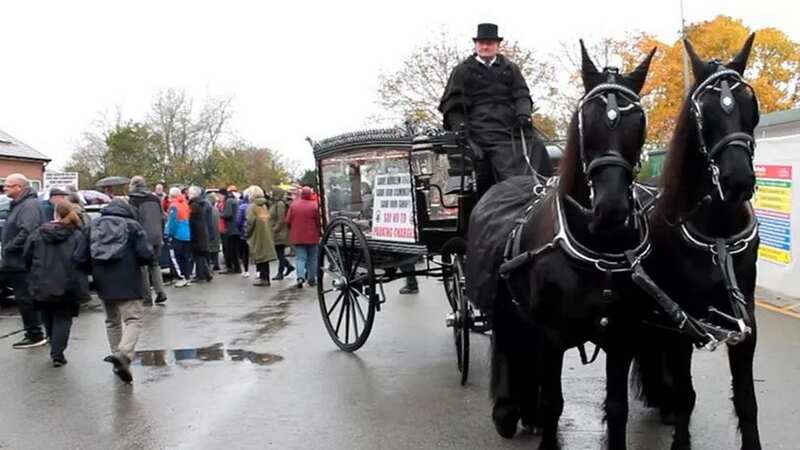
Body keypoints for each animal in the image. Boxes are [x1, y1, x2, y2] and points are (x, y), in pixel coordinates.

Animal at [476, 40, 656, 448]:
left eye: (638, 121)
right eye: (586, 118)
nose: (610, 209)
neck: (598, 250)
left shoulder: (623, 335)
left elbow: (617, 409)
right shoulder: (552, 336)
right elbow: (553, 403)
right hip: (511, 313)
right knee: (511, 349)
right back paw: (507, 412)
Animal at [632, 35, 764, 450]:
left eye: (749, 104)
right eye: (703, 110)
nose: (738, 180)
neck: (718, 237)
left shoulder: (745, 325)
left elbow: (747, 400)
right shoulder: (681, 323)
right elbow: (687, 394)